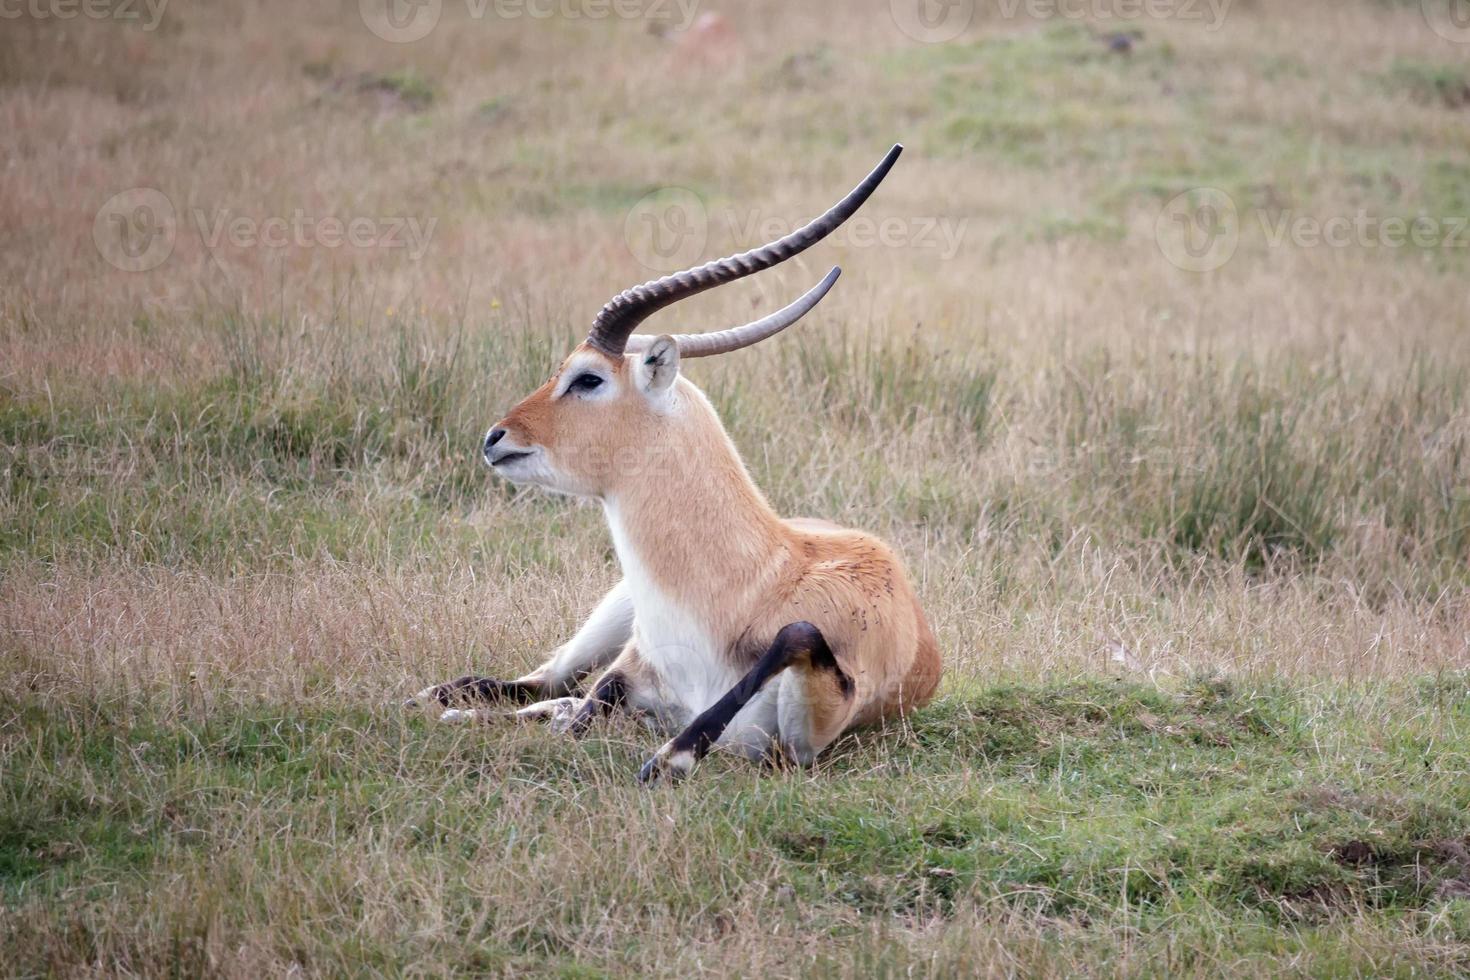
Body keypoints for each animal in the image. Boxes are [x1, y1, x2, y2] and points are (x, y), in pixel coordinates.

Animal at [414, 145, 940, 787]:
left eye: (588, 378)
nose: (496, 437)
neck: (747, 586)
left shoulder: (799, 746)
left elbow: (796, 634)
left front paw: (670, 757)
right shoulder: (629, 668)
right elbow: (585, 706)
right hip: (611, 615)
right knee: (543, 681)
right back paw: (440, 699)